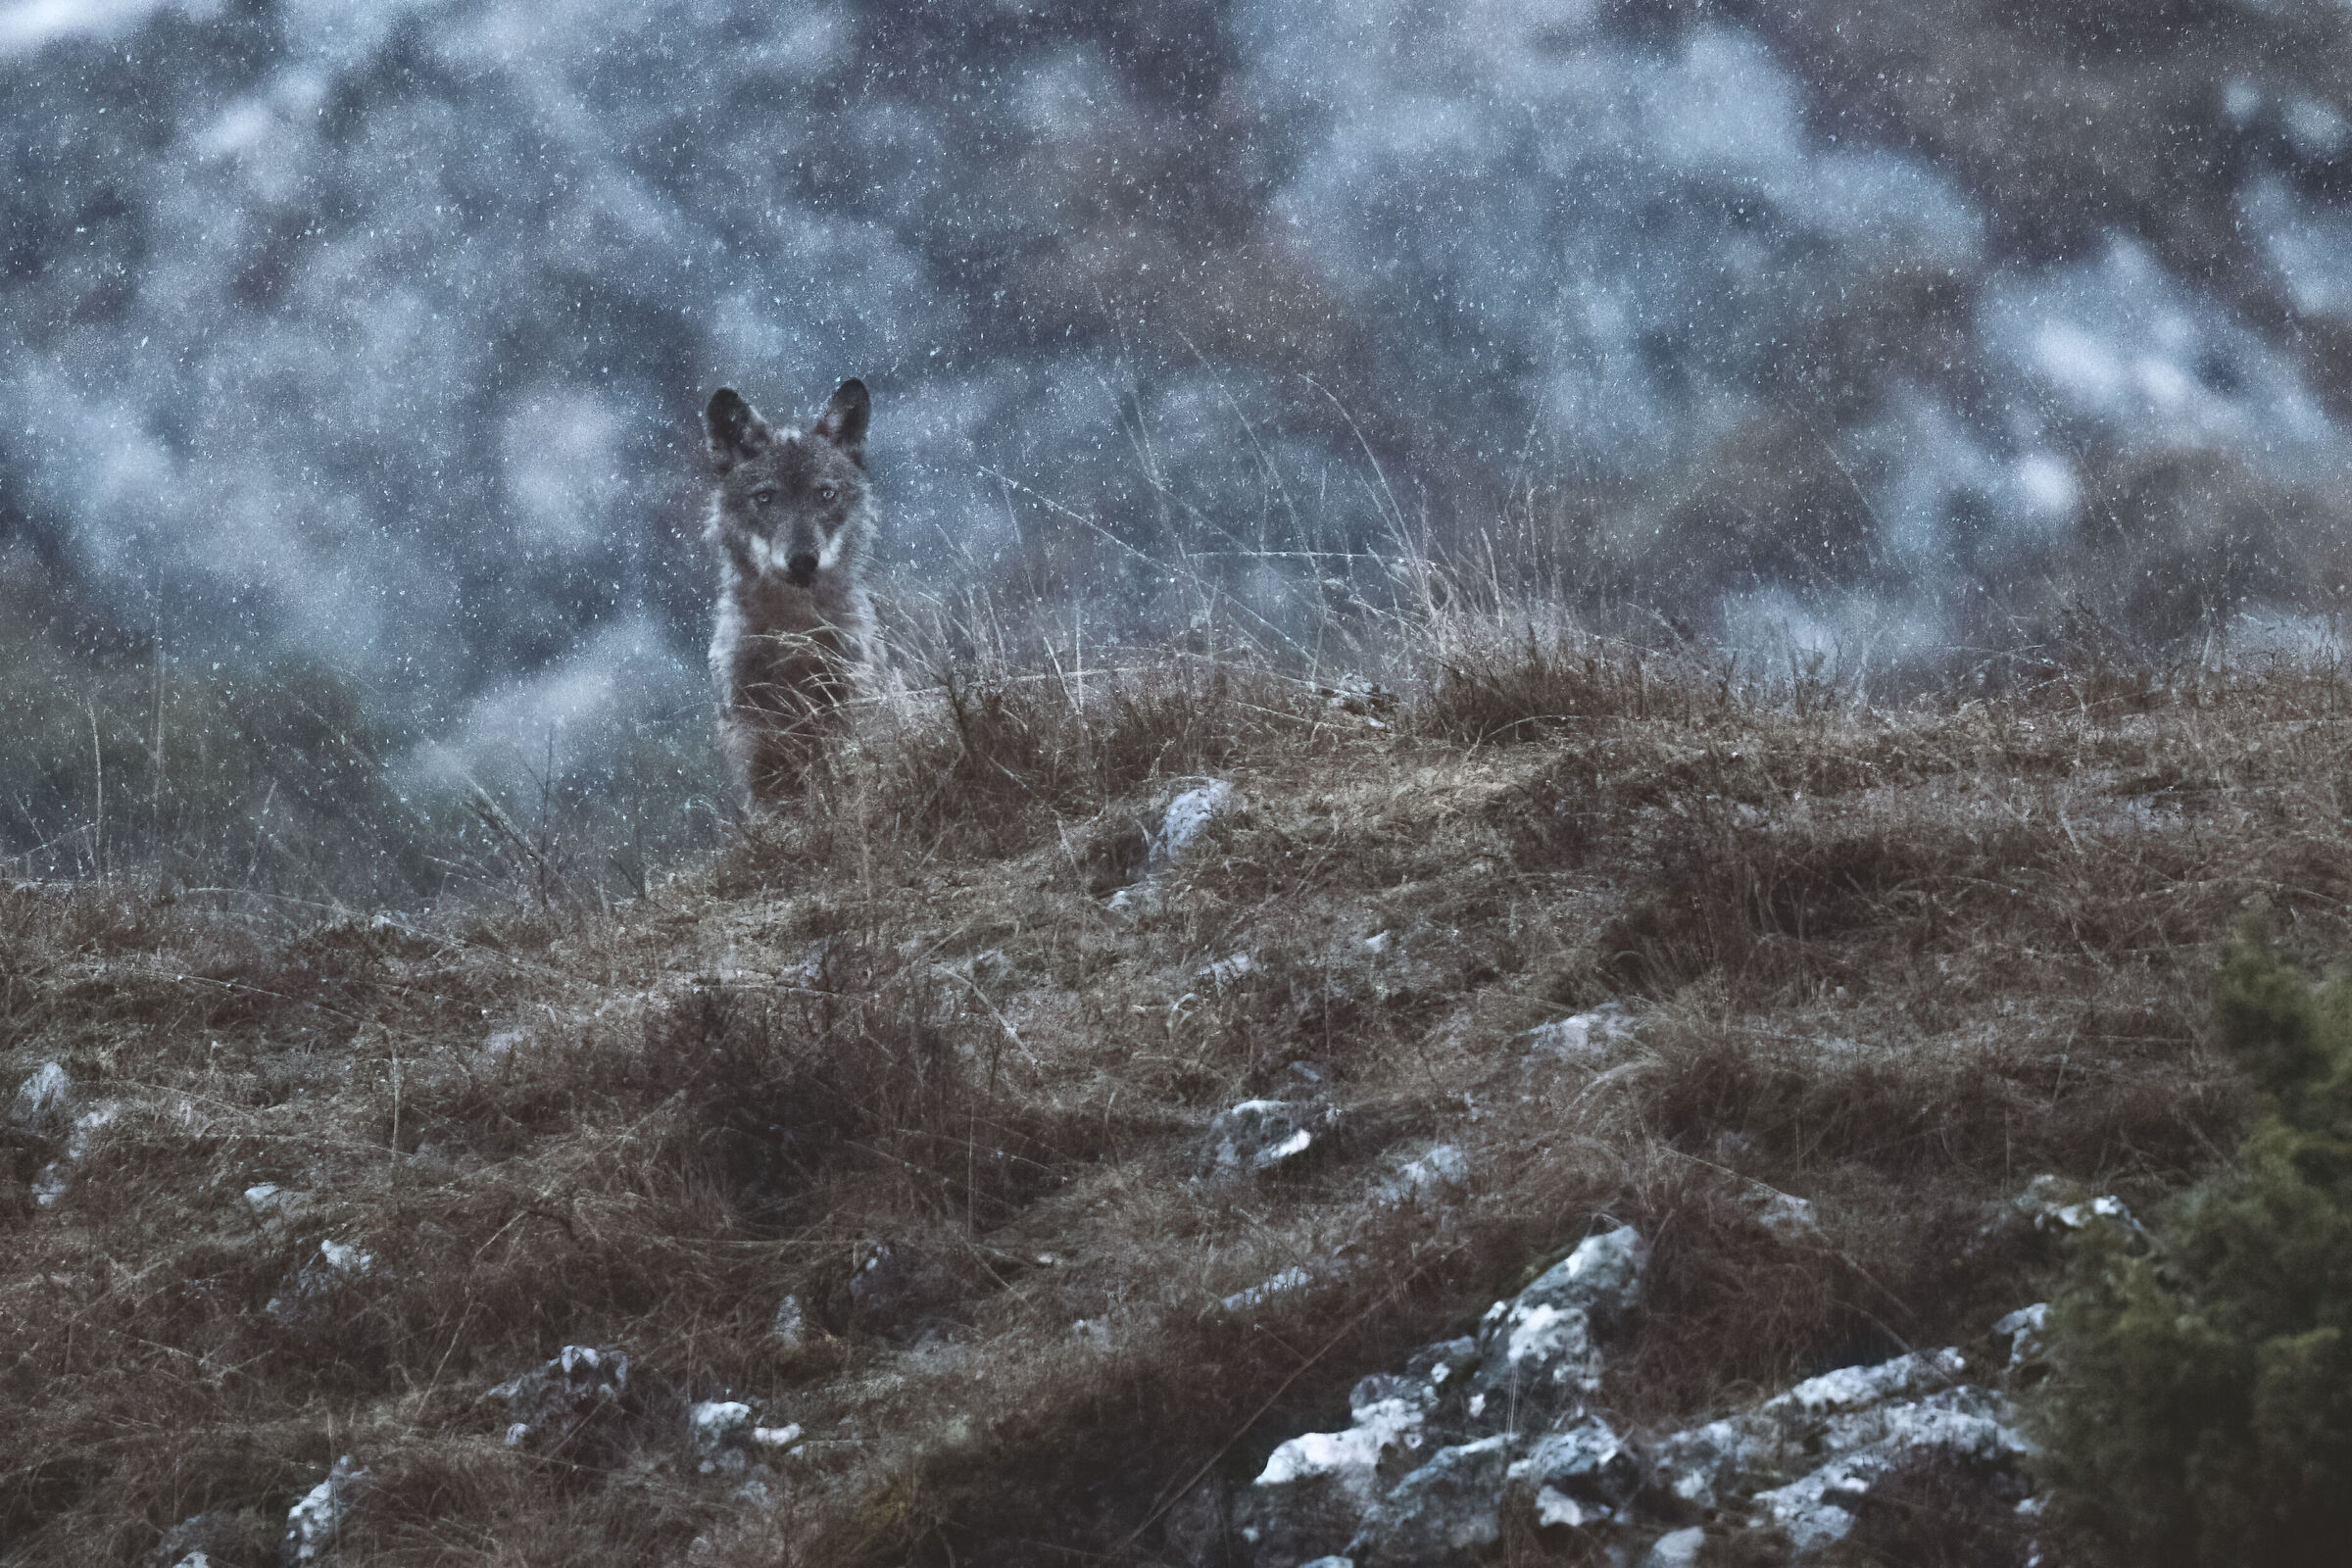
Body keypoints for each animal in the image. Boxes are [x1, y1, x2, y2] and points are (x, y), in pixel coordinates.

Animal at [703, 378, 878, 803]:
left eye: (826, 494)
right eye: (765, 497)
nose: (802, 559)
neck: (796, 628)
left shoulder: (849, 716)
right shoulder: (757, 755)